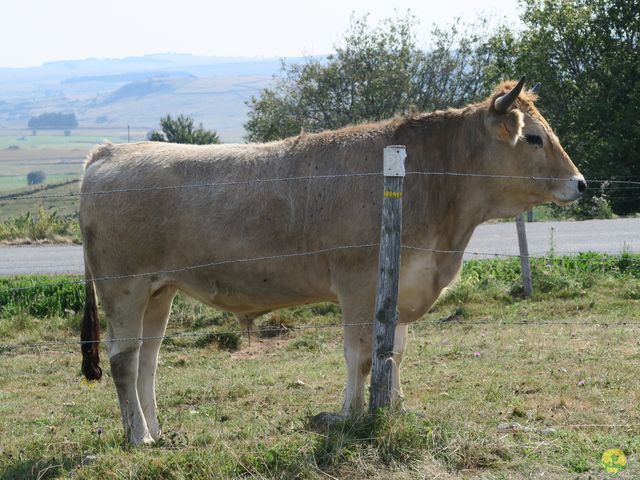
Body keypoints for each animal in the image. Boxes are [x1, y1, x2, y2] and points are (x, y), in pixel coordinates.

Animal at [79, 77, 584, 444]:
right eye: (534, 138)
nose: (580, 183)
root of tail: (109, 151)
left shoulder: (403, 283)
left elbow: (394, 352)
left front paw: (396, 409)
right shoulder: (359, 284)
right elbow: (360, 357)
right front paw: (351, 415)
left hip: (159, 290)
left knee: (147, 360)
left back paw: (157, 431)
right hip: (124, 287)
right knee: (124, 360)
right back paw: (138, 437)